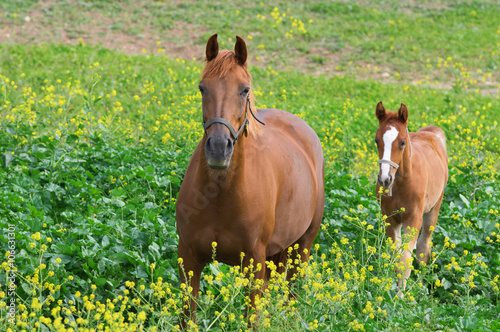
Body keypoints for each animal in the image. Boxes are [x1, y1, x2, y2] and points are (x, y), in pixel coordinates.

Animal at [175, 33, 324, 326]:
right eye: (202, 88)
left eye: (244, 90)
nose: (218, 148)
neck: (219, 197)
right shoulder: (189, 259)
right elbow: (188, 317)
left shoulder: (253, 263)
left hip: (302, 247)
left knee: (293, 294)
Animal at [376, 102, 450, 296]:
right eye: (376, 140)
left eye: (402, 142)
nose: (385, 179)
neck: (401, 183)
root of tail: (431, 132)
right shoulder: (390, 219)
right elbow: (396, 258)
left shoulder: (413, 219)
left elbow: (406, 260)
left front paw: (400, 298)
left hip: (434, 206)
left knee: (424, 247)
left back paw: (421, 286)